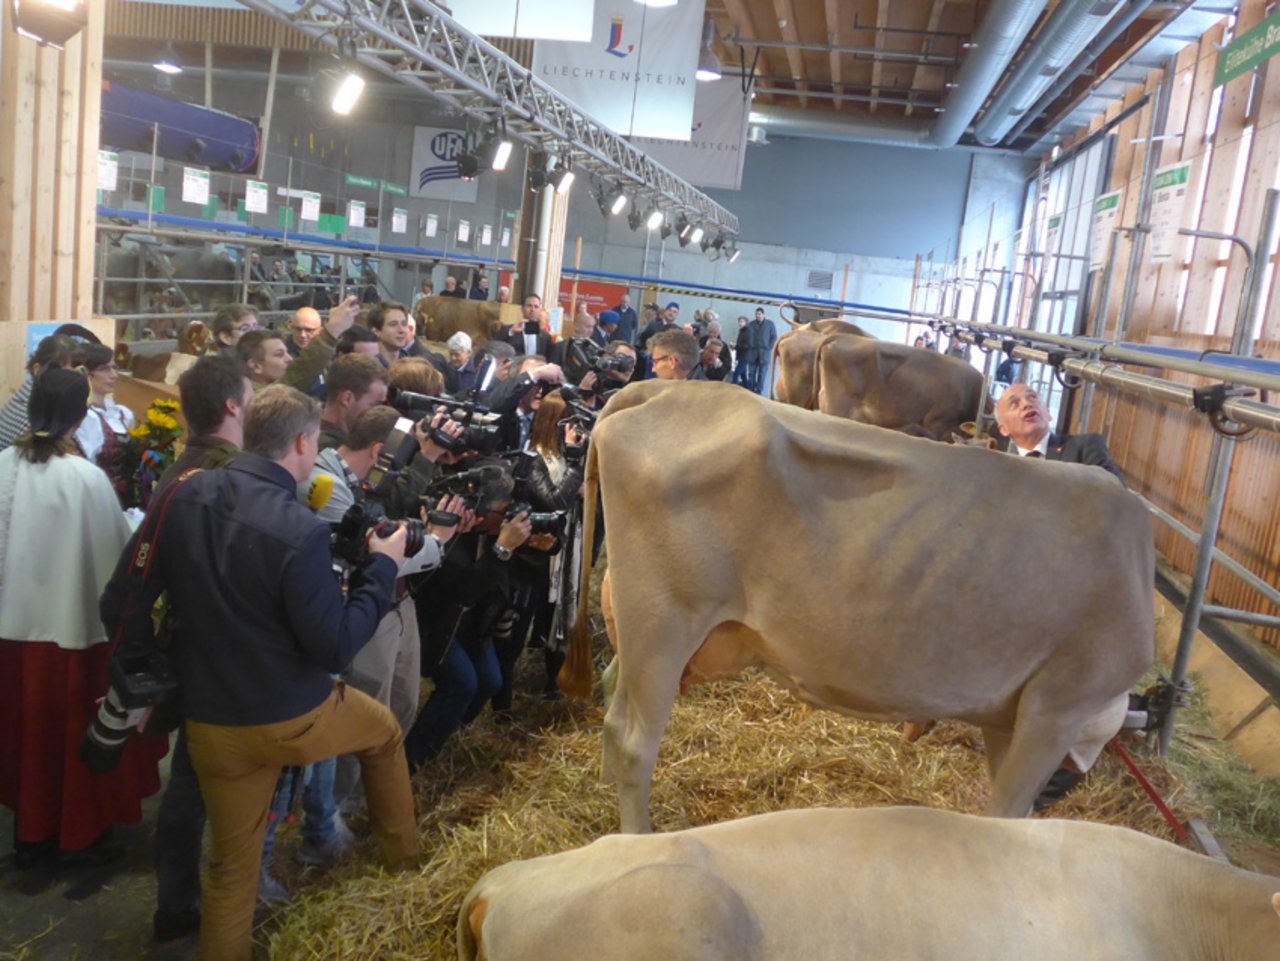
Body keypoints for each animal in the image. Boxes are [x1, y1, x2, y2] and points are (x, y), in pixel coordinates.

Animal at [558, 383, 1152, 834]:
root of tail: (665, 389)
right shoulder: (1056, 706)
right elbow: (1007, 813)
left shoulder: (1009, 716)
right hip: (663, 621)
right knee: (634, 743)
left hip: (641, 625)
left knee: (612, 705)